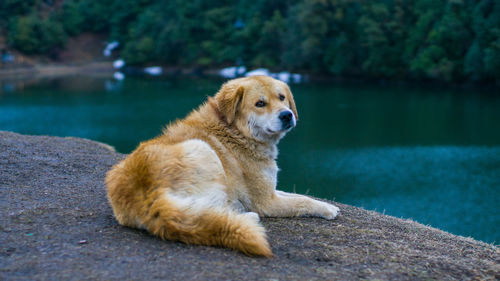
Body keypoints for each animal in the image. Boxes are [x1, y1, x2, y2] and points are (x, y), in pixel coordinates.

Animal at [105, 75, 340, 255]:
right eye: (260, 103)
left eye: (282, 98)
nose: (287, 115)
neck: (236, 131)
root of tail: (146, 194)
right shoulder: (266, 201)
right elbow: (302, 201)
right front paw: (328, 208)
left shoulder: (270, 190)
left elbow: (296, 195)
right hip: (203, 150)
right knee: (214, 211)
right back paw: (245, 215)